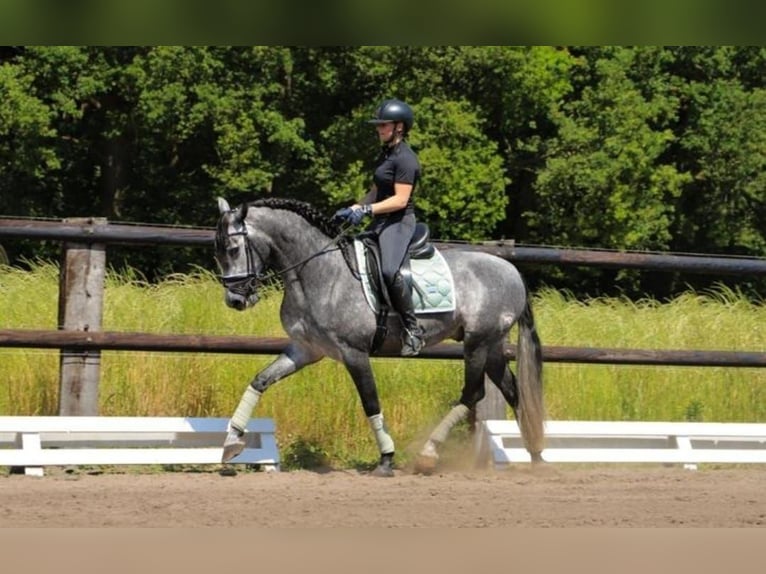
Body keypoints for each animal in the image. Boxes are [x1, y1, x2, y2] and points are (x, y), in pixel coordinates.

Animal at [214, 196, 544, 476]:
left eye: (233, 249)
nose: (235, 300)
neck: (320, 272)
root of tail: (512, 270)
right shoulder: (305, 349)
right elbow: (260, 381)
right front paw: (231, 443)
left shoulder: (354, 352)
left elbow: (370, 402)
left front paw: (386, 459)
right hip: (491, 345)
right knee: (512, 391)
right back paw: (534, 456)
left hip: (478, 342)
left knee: (473, 393)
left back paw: (429, 454)